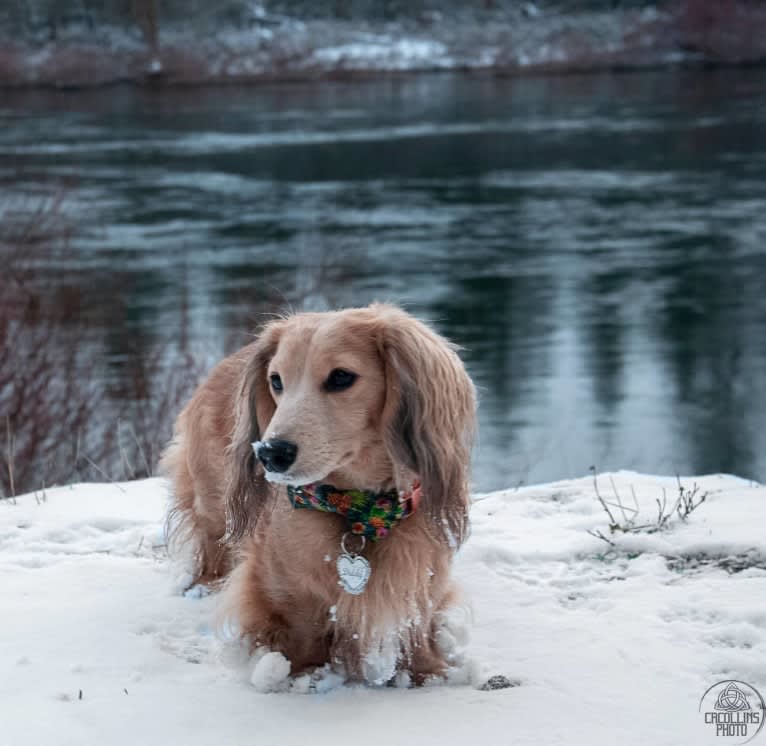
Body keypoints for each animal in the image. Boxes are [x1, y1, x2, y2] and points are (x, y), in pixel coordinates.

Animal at [161, 302, 474, 684]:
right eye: (276, 380)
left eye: (341, 377)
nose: (270, 454)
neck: (359, 512)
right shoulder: (280, 585)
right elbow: (302, 622)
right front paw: (304, 670)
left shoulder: (422, 573)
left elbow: (418, 620)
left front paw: (426, 669)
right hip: (212, 503)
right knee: (212, 541)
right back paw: (206, 583)